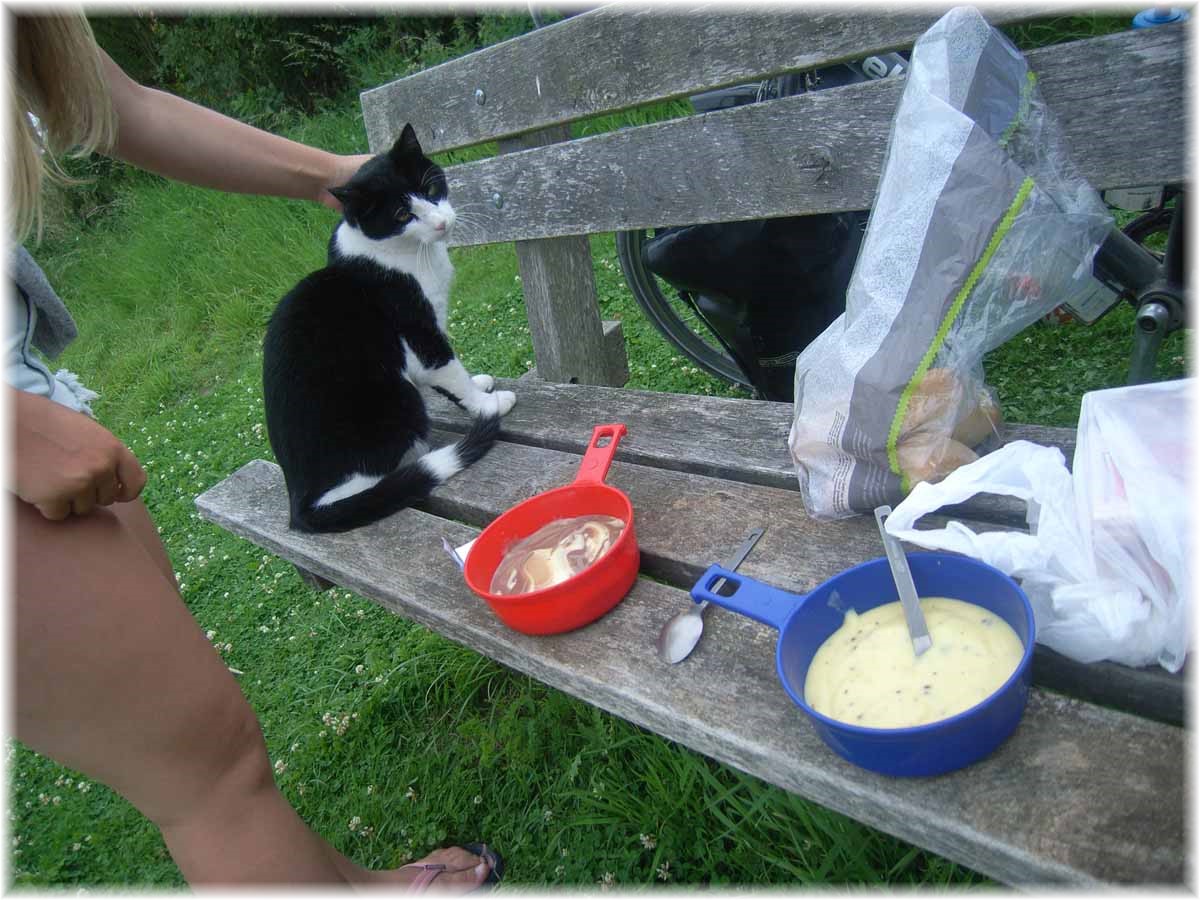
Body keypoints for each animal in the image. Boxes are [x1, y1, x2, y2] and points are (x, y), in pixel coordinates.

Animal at [264, 127, 516, 535]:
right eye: (401, 214)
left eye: (430, 189)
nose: (441, 223)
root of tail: (300, 504)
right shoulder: (419, 329)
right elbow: (449, 369)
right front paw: (486, 405)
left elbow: (453, 378)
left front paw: (480, 385)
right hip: (399, 400)